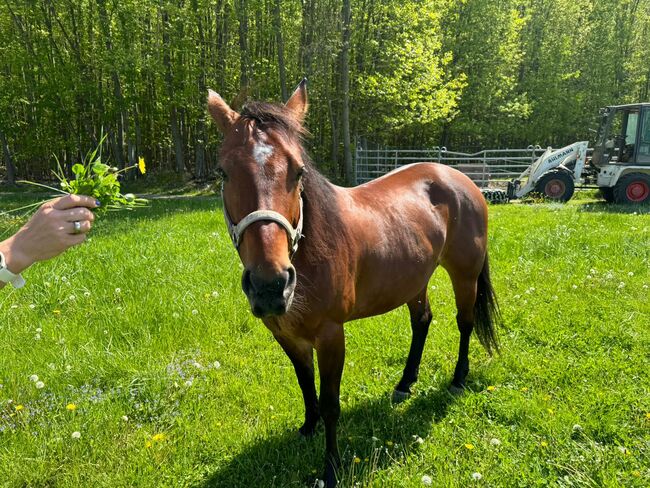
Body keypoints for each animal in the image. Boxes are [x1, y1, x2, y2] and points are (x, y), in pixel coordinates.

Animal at [205, 81, 498, 488]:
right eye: (223, 173)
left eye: (298, 172)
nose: (270, 285)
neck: (307, 254)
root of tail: (461, 178)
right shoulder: (285, 334)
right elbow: (304, 382)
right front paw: (306, 428)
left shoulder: (331, 335)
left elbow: (331, 403)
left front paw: (331, 468)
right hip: (415, 278)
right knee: (422, 321)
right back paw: (404, 384)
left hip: (465, 275)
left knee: (465, 322)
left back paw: (457, 379)